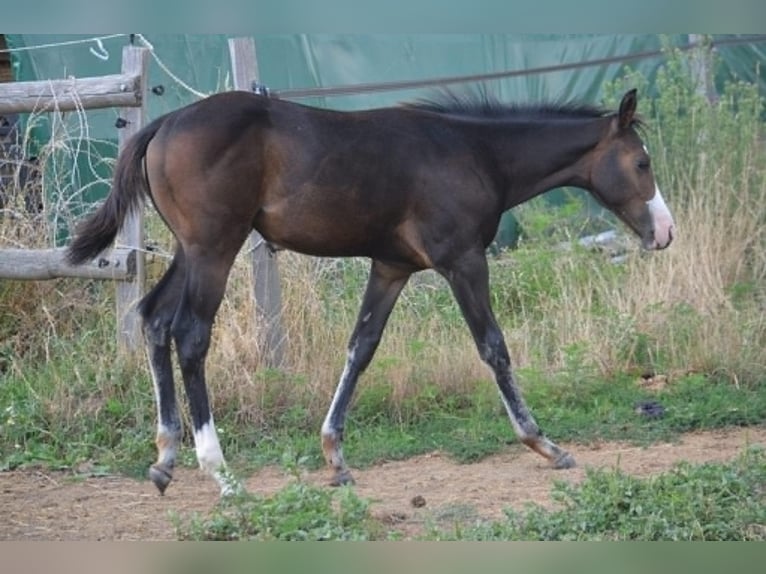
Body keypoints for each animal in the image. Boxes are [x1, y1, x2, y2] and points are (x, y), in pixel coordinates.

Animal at [66, 88, 674, 496]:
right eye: (641, 162)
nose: (664, 233)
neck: (475, 151)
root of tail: (163, 123)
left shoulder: (391, 267)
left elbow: (361, 346)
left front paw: (335, 456)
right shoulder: (462, 261)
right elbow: (493, 347)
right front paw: (545, 444)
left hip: (189, 250)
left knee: (153, 319)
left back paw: (165, 457)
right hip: (214, 247)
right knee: (190, 335)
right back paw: (220, 472)